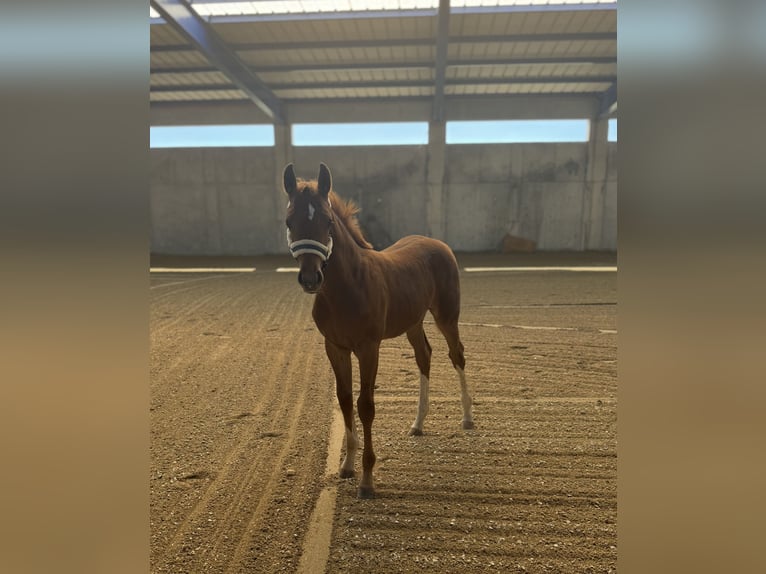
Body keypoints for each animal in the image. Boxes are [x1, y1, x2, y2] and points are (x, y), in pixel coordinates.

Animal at [282, 163, 474, 499]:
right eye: (289, 221)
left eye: (327, 220)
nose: (310, 279)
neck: (348, 287)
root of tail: (438, 243)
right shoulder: (335, 347)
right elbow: (345, 399)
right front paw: (347, 466)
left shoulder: (369, 347)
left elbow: (366, 405)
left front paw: (367, 480)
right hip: (412, 321)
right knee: (424, 355)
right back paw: (417, 424)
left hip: (447, 317)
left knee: (456, 355)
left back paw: (466, 418)